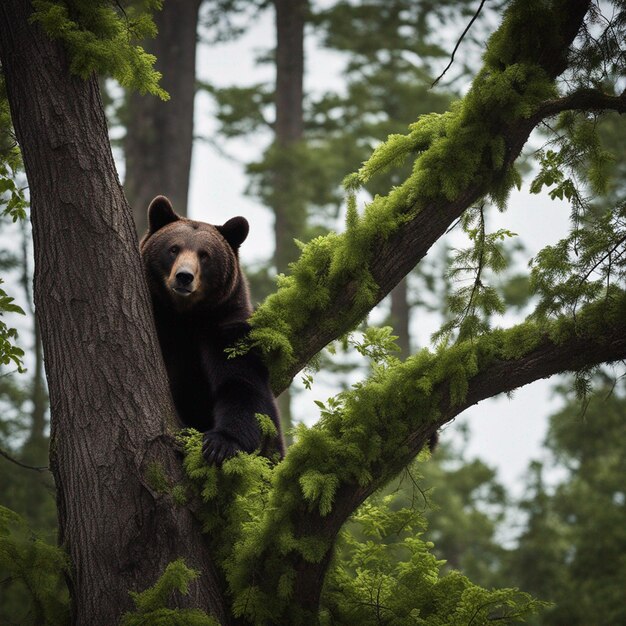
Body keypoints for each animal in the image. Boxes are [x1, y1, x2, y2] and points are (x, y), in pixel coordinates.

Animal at [140, 195, 284, 464]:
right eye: (173, 249)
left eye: (204, 255)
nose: (184, 277)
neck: (184, 316)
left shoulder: (224, 327)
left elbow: (241, 384)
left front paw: (219, 444)